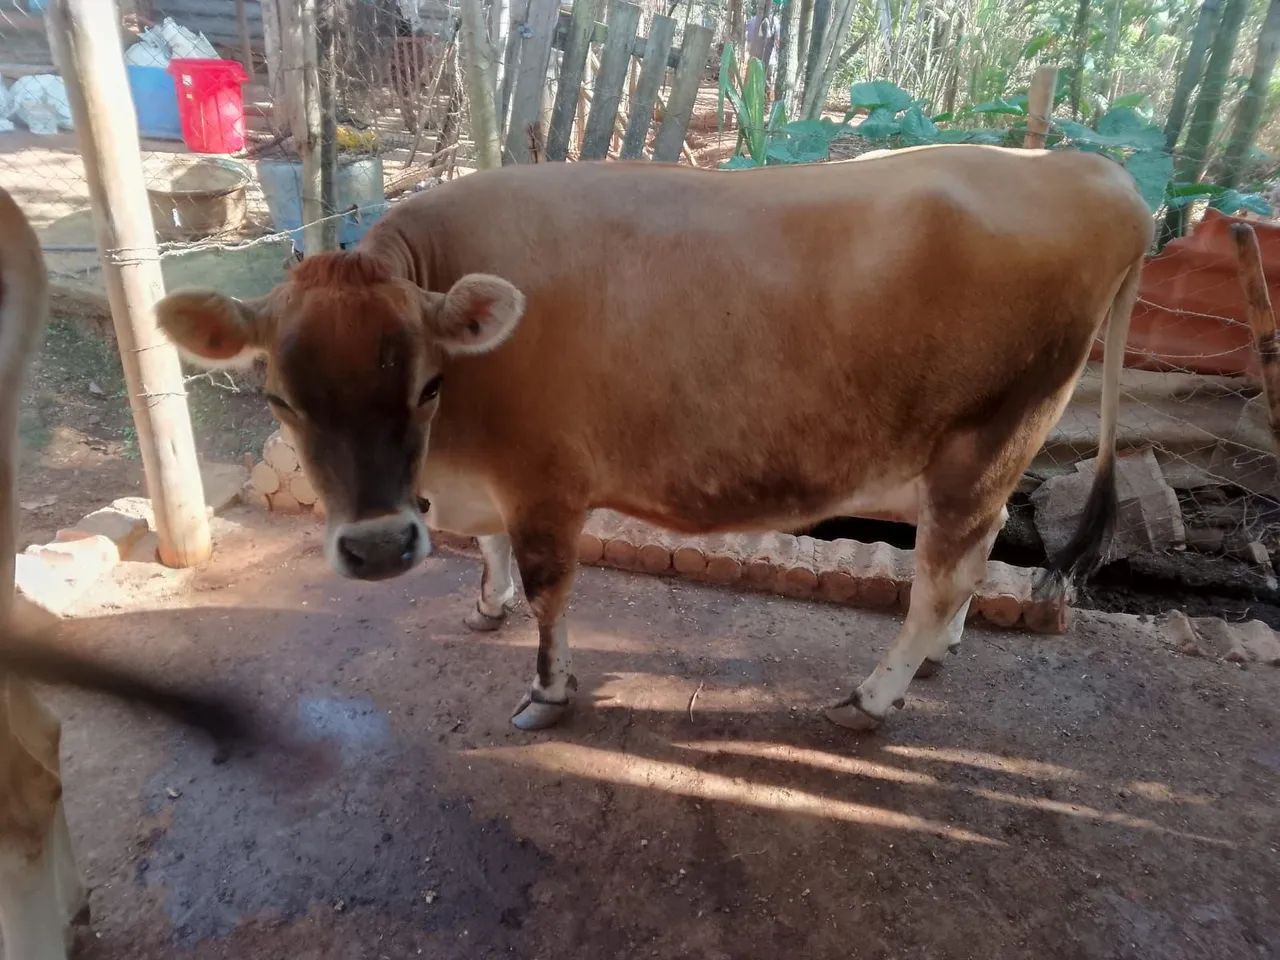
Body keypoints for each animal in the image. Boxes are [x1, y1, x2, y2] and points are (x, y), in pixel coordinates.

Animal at [156, 145, 1151, 734]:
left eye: (427, 385)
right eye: (279, 398)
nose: (375, 548)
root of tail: (1093, 170)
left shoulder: (545, 479)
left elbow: (551, 592)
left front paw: (547, 691)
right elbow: (486, 548)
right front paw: (486, 604)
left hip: (989, 440)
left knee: (941, 573)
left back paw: (874, 696)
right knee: (976, 556)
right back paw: (940, 653)